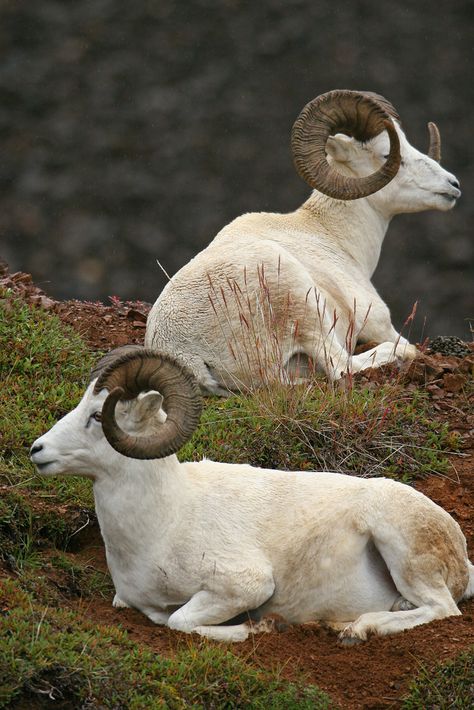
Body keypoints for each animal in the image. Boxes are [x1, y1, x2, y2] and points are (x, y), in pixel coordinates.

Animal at [30, 350, 474, 644]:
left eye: (96, 415)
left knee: (441, 608)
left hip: (398, 545)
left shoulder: (245, 586)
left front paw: (257, 626)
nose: (37, 450)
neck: (164, 521)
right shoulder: (132, 600)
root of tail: (457, 546)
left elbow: (179, 622)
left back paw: (357, 628)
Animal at [146, 90, 462, 394]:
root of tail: (185, 352)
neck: (329, 233)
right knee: (343, 367)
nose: (453, 185)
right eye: (388, 155)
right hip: (306, 307)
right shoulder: (379, 323)